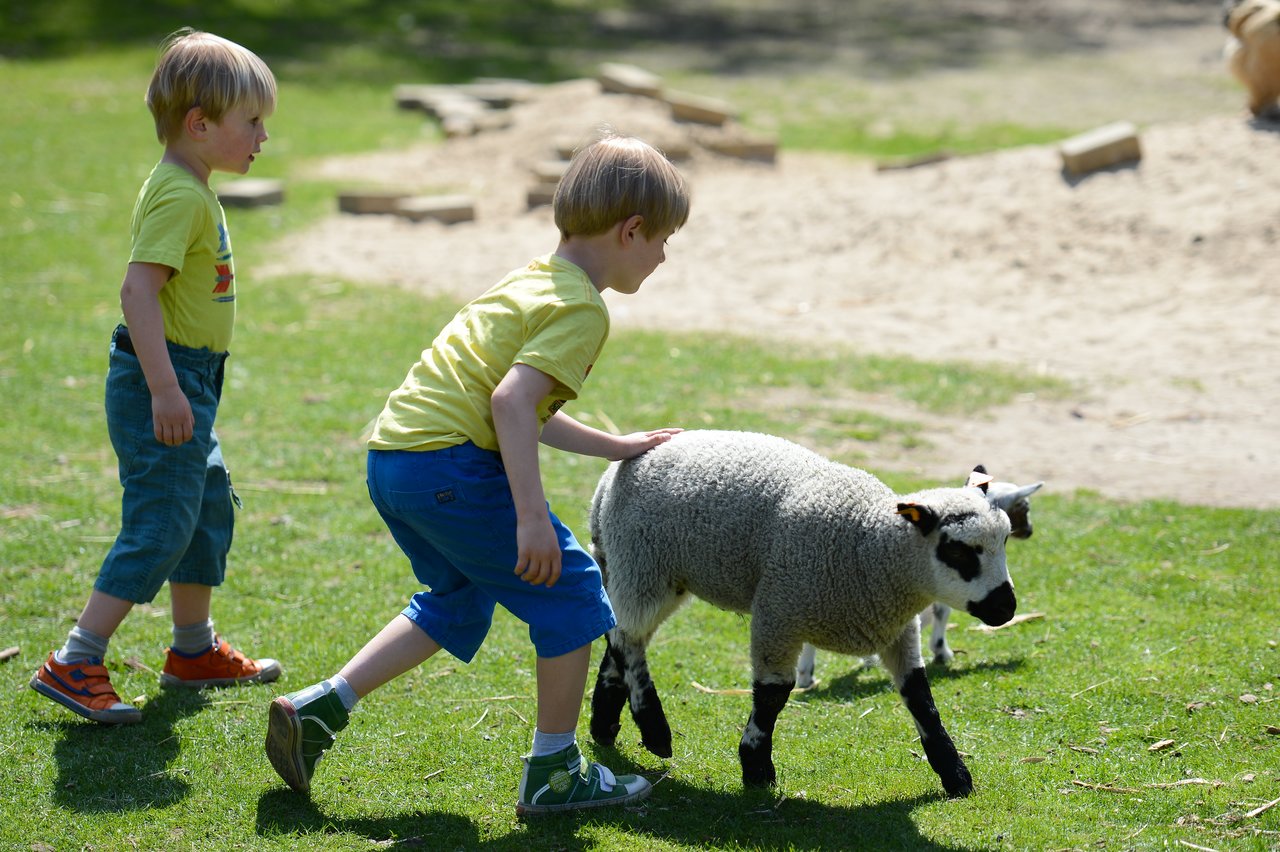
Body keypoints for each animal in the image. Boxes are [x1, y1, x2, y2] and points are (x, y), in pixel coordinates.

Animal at [588, 430, 1017, 798]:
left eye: (1005, 540)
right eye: (958, 550)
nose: (1006, 608)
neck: (869, 545)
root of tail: (605, 484)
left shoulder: (897, 630)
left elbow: (920, 696)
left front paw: (955, 774)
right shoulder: (779, 613)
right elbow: (773, 694)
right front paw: (756, 767)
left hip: (654, 573)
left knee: (620, 635)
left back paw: (604, 722)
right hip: (644, 563)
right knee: (629, 640)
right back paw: (653, 728)